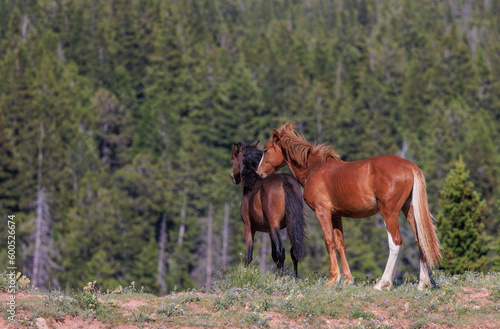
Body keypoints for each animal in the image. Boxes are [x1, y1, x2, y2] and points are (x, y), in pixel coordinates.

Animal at [231, 141, 308, 276]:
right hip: (290, 224)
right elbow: (273, 255)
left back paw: (281, 277)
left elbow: (249, 256)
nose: (233, 177)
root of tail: (284, 182)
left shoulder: (248, 227)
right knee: (293, 251)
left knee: (281, 250)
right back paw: (295, 278)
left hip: (274, 225)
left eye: (232, 158)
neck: (252, 185)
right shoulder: (269, 231)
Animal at [258, 123, 442, 290]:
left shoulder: (322, 212)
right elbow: (340, 245)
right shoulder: (336, 215)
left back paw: (383, 283)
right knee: (420, 240)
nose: (259, 173)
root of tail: (410, 166)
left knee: (395, 242)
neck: (314, 169)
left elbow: (329, 242)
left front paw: (333, 279)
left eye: (266, 150)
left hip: (389, 212)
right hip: (409, 210)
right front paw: (347, 280)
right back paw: (422, 283)